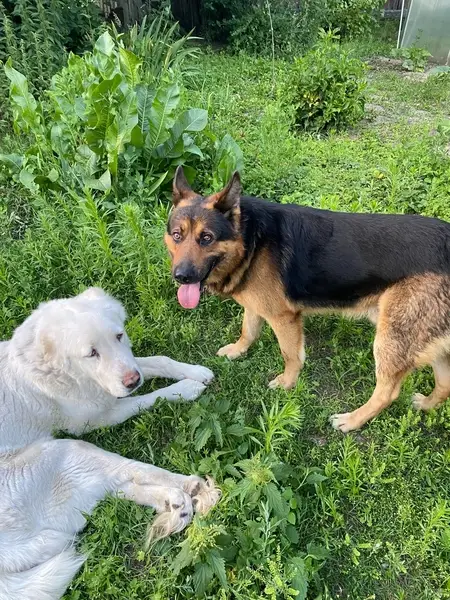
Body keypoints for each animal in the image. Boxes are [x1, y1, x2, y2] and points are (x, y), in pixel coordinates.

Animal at [0, 287, 220, 600]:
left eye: (119, 336)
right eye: (91, 353)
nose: (132, 381)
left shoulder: (128, 369)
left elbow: (158, 359)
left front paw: (195, 371)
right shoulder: (103, 414)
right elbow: (148, 398)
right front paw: (185, 388)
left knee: (115, 488)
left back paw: (175, 503)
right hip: (66, 450)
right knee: (134, 472)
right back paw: (192, 488)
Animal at [165, 166, 450, 433]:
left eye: (207, 238)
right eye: (177, 235)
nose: (181, 277)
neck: (251, 240)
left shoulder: (284, 318)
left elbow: (290, 355)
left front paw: (287, 383)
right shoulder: (256, 306)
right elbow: (248, 330)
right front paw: (237, 350)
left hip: (389, 341)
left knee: (388, 392)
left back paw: (352, 420)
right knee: (445, 383)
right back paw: (426, 404)